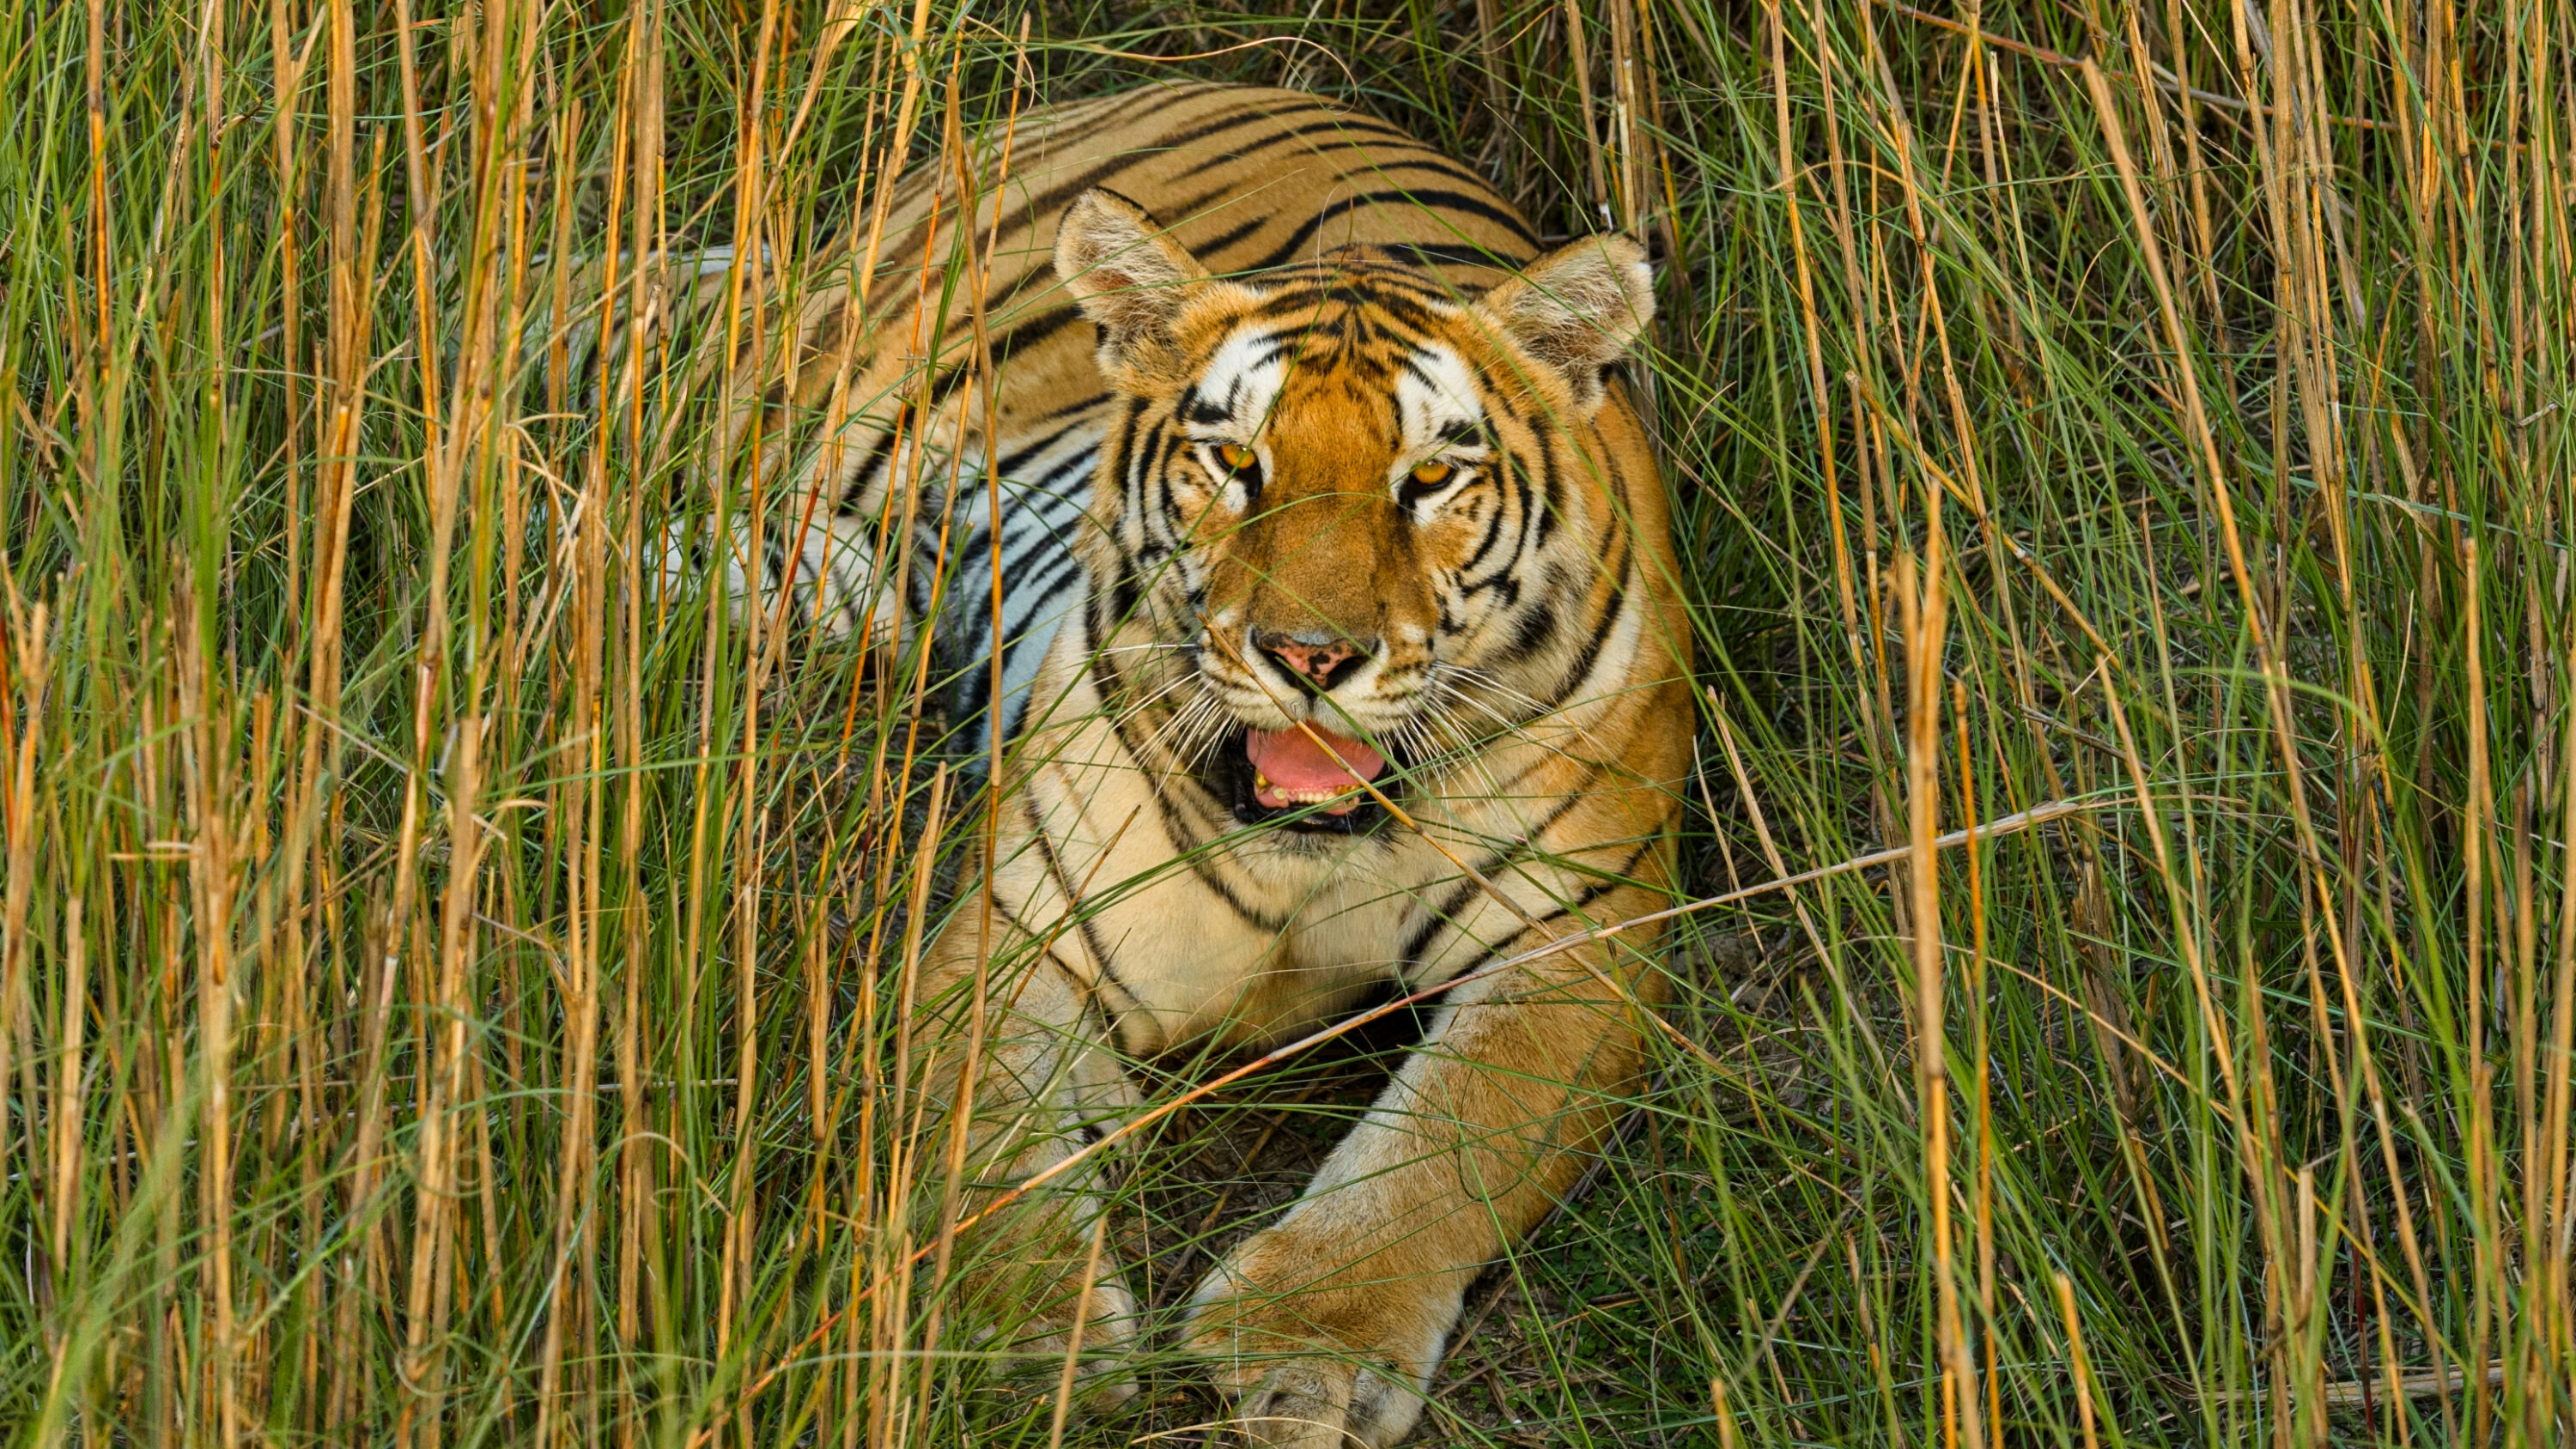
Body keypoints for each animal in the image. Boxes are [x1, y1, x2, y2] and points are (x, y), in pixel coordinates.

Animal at [698, 80, 1693, 1446]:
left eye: (1430, 477)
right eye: (1236, 462)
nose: (1310, 654)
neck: (1311, 859)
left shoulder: (1579, 941)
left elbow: (1446, 1145)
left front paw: (1310, 1350)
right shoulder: (1027, 925)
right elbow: (984, 1145)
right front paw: (1014, 1347)